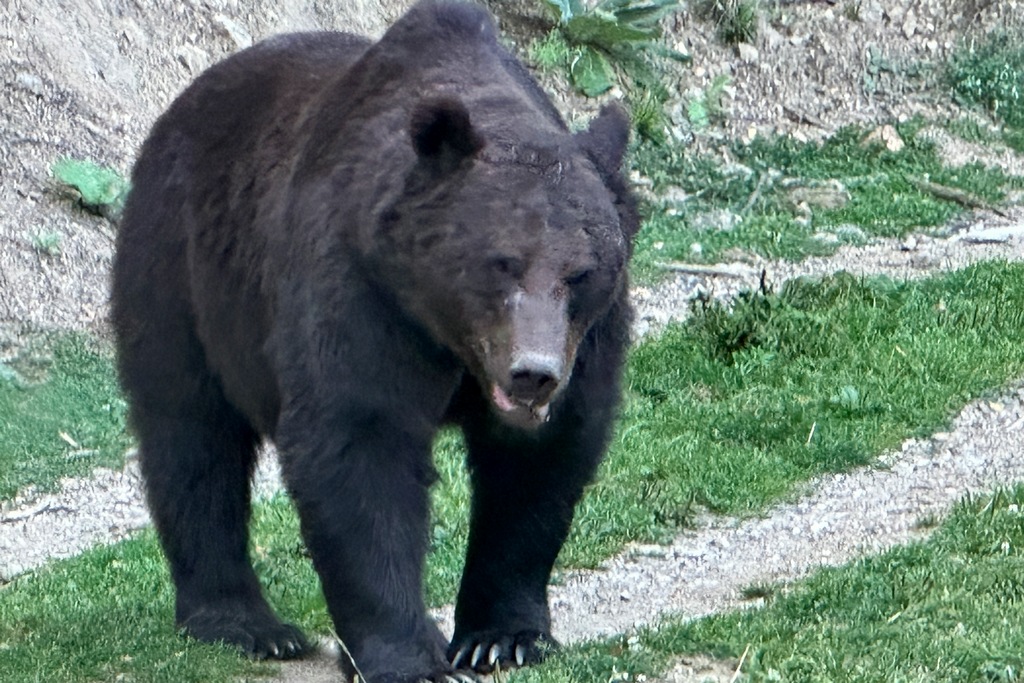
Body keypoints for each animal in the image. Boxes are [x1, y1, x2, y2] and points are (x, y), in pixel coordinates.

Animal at [111, 2, 638, 681]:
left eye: (581, 273)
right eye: (502, 262)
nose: (534, 372)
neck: (446, 332)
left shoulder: (588, 341)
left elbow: (541, 463)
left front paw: (502, 636)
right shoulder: (363, 297)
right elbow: (359, 446)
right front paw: (411, 657)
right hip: (181, 273)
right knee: (192, 438)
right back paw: (246, 623)